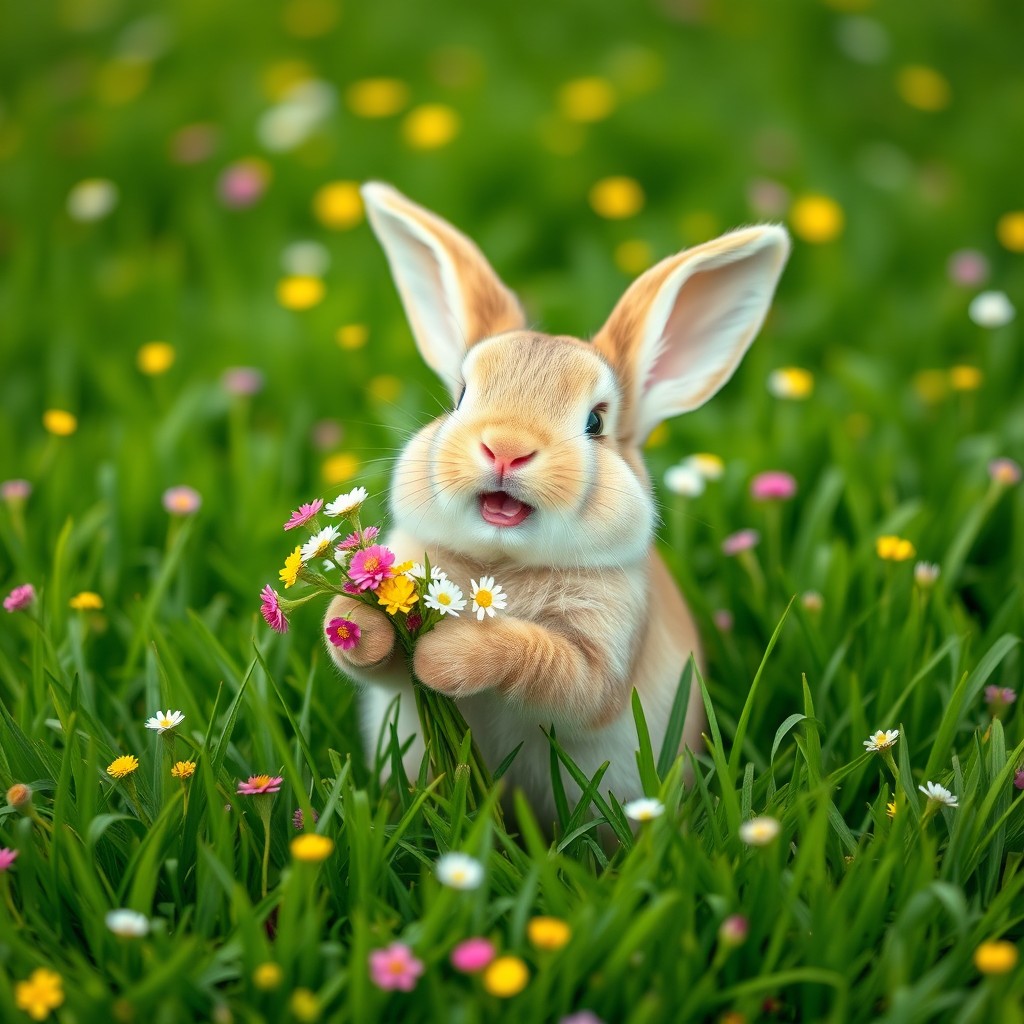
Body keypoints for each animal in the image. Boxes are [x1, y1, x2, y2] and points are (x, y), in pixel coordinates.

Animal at [325, 182, 790, 830]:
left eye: (595, 422)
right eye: (460, 397)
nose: (506, 448)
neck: (503, 565)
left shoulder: (601, 655)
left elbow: (543, 663)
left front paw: (448, 653)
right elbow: (376, 663)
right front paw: (354, 617)